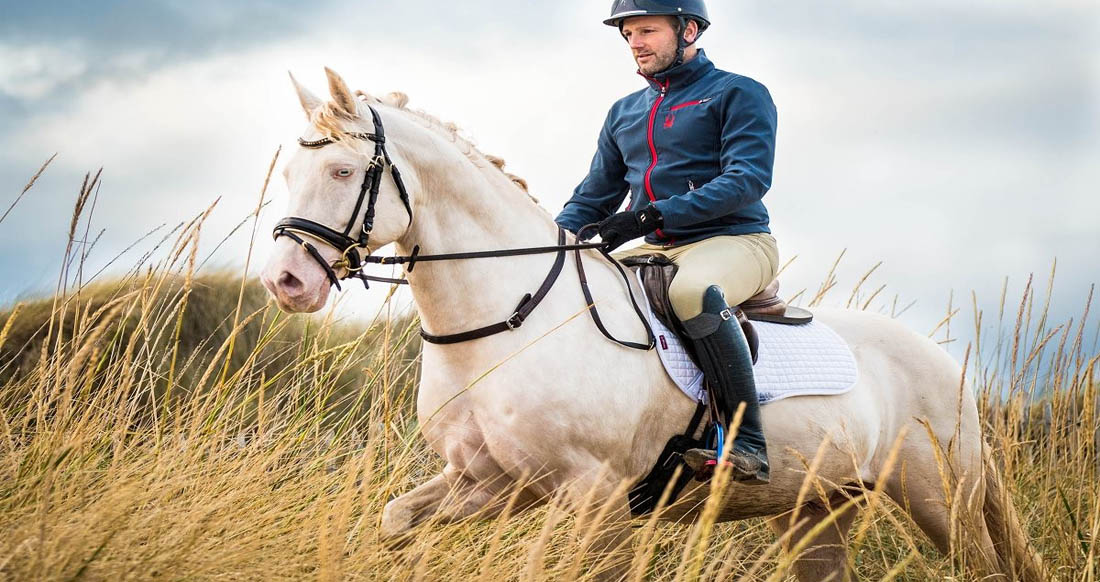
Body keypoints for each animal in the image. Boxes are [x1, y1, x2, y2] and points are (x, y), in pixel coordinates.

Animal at [261, 69, 1042, 580]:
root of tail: (945, 362)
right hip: (818, 509)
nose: (287, 282)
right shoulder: (491, 481)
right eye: (291, 175)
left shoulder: (592, 497)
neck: (507, 327)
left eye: (341, 172)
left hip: (943, 501)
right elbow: (396, 521)